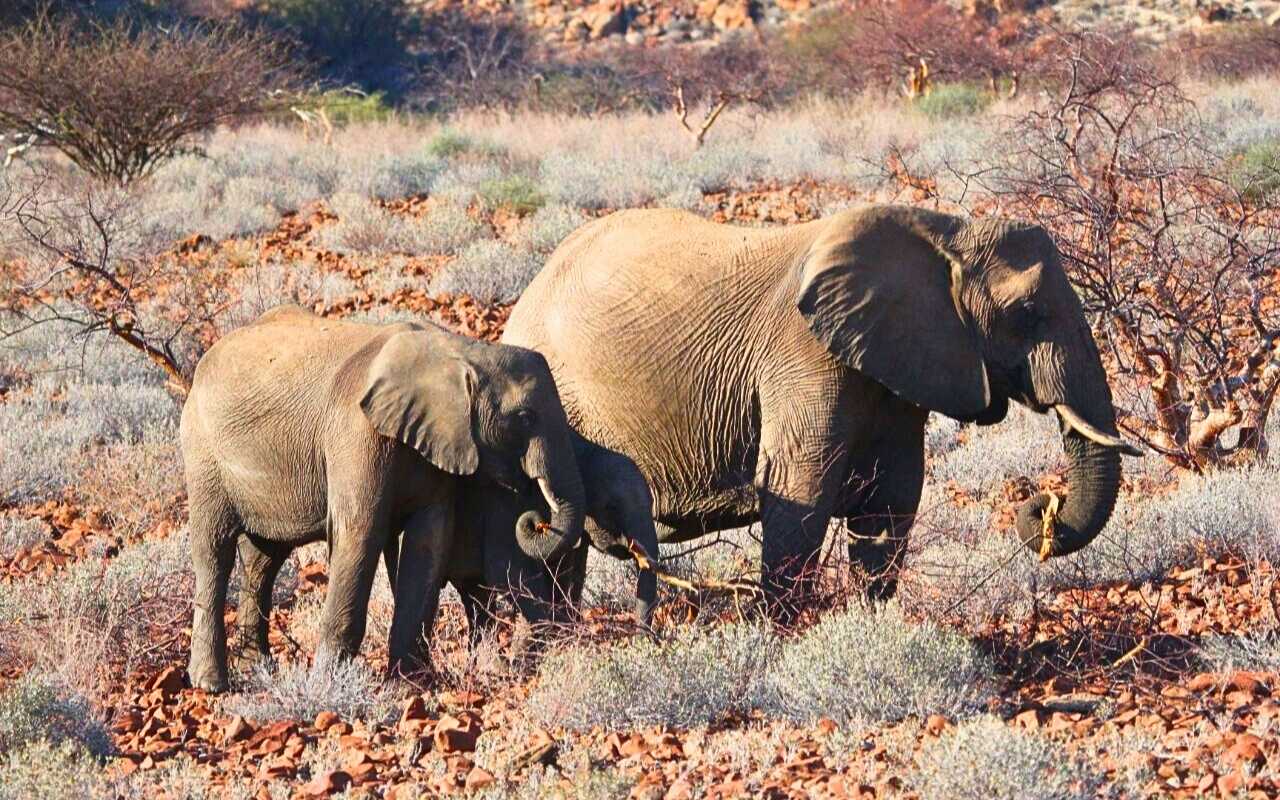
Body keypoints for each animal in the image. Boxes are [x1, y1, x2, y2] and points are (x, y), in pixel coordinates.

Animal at [179, 302, 586, 691]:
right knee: (215, 553)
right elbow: (360, 532)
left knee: (264, 558)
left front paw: (411, 682)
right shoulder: (356, 431)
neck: (459, 351)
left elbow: (428, 541)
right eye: (525, 417)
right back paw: (211, 684)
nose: (535, 519)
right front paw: (328, 684)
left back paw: (257, 669)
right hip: (202, 451)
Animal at [499, 202, 1141, 609]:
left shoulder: (898, 366)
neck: (946, 231)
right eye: (1028, 314)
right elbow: (799, 491)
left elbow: (893, 498)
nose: (1043, 508)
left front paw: (871, 620)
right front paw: (785, 632)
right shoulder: (805, 357)